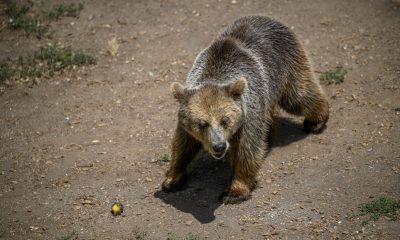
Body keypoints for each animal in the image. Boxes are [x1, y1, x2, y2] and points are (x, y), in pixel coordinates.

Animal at [161, 15, 330, 203]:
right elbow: (183, 144)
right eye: (202, 123)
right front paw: (172, 179)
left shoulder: (248, 114)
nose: (219, 146)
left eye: (225, 120)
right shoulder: (187, 120)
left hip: (285, 65)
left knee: (299, 95)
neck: (214, 72)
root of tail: (268, 17)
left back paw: (315, 121)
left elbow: (247, 150)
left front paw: (234, 191)